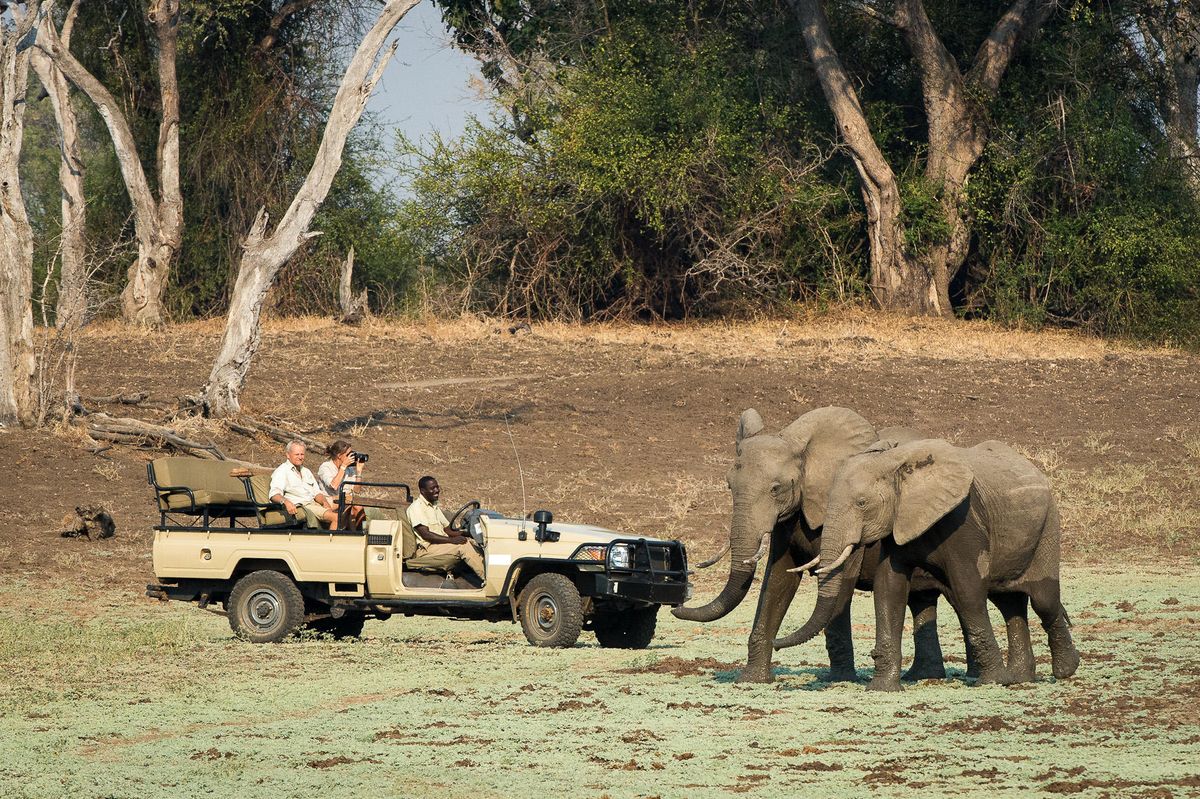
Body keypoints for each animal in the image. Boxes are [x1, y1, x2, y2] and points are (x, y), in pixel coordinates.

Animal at [672, 406, 951, 684]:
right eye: (730, 485)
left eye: (776, 489)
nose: (677, 607)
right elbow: (778, 580)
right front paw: (751, 679)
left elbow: (838, 582)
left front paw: (839, 680)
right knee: (921, 601)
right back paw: (923, 676)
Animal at [775, 438, 1081, 691]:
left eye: (862, 503)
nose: (776, 645)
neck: (896, 462)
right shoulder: (899, 521)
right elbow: (889, 589)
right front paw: (882, 688)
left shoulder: (963, 520)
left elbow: (967, 589)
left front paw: (992, 681)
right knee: (1008, 602)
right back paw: (1020, 678)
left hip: (1048, 527)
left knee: (1043, 600)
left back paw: (1065, 670)